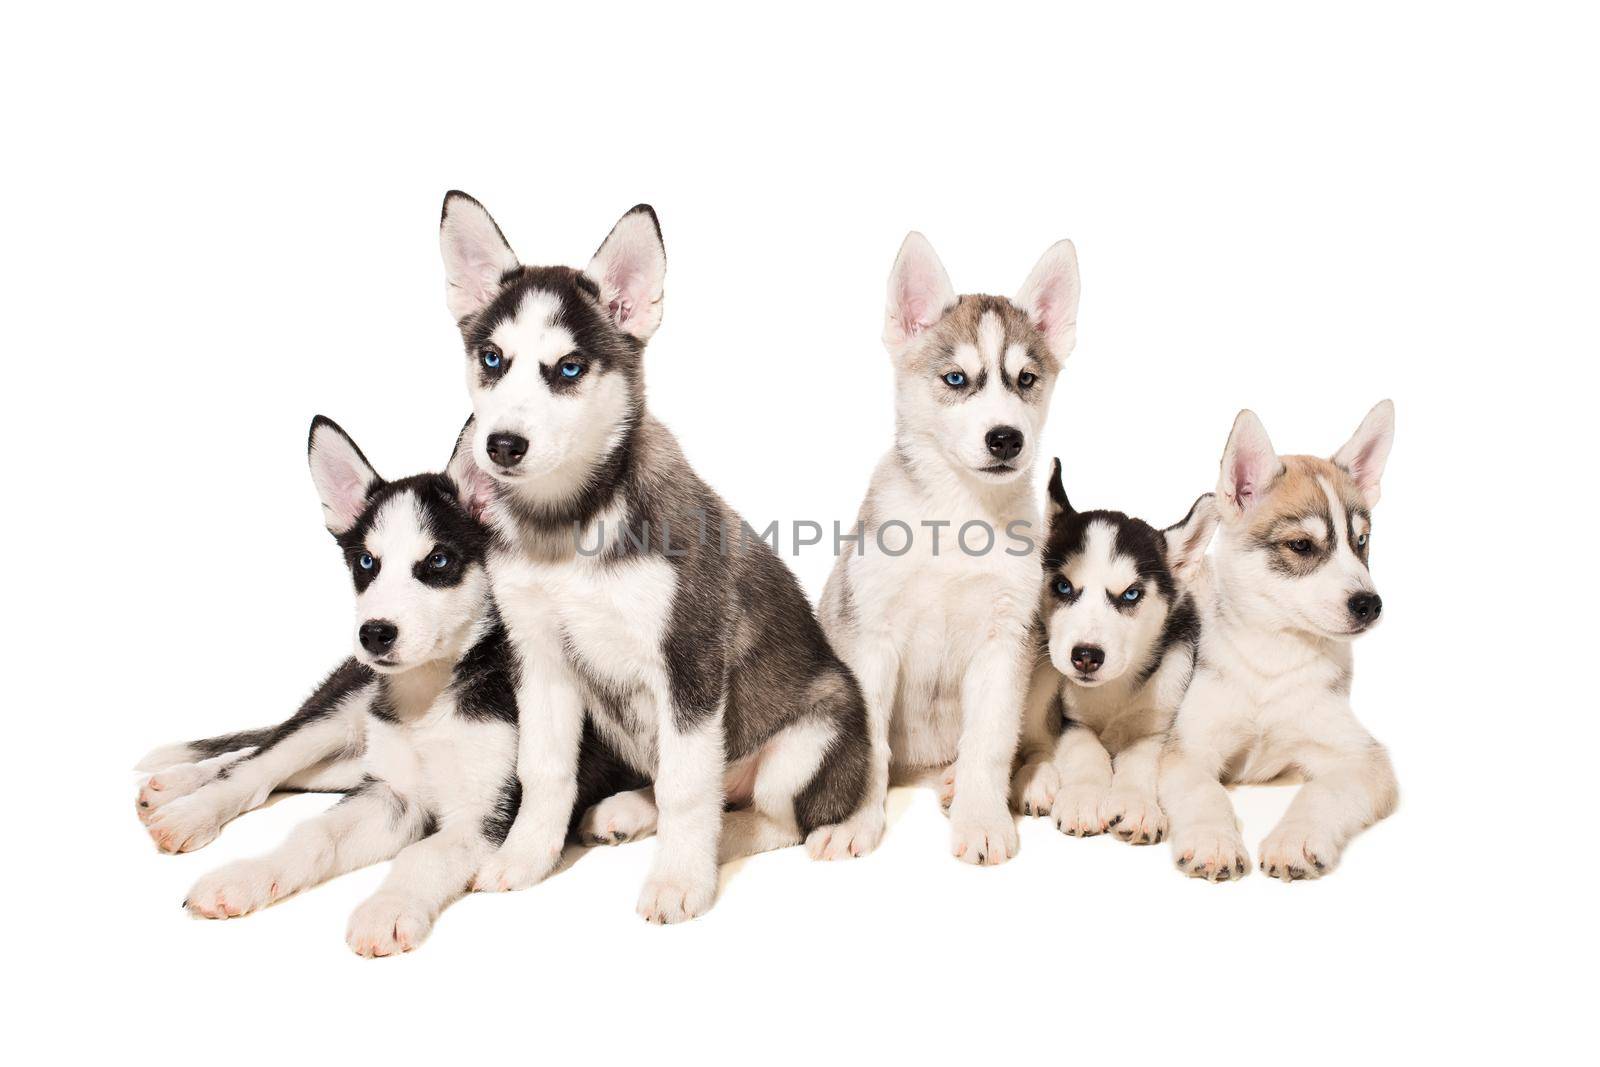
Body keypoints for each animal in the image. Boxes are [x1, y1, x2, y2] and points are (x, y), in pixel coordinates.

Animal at [134, 415, 640, 953]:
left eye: (439, 562)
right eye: (366, 564)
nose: (375, 633)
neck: (431, 693)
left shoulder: (488, 816)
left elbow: (421, 855)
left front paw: (388, 908)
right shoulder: (392, 794)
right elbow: (314, 835)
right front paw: (246, 877)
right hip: (341, 712)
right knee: (258, 764)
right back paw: (185, 803)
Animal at [432, 194, 870, 927]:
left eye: (570, 369)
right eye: (492, 358)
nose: (502, 445)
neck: (568, 525)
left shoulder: (689, 658)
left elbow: (689, 790)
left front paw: (679, 878)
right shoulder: (538, 657)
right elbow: (543, 771)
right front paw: (524, 857)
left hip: (814, 732)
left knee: (770, 814)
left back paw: (723, 837)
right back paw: (631, 810)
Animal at [812, 230, 1088, 863]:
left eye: (1026, 380)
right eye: (956, 379)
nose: (1005, 438)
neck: (959, 516)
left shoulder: (1004, 641)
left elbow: (990, 741)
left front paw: (982, 818)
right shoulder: (871, 639)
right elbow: (869, 746)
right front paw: (854, 821)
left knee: (1031, 738)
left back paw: (1017, 776)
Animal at [1004, 460, 1216, 844]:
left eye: (1131, 594)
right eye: (1063, 586)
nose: (1086, 655)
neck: (1112, 690)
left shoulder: (1159, 723)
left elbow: (1139, 758)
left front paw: (1137, 805)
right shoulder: (1070, 719)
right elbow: (1086, 750)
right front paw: (1084, 798)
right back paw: (1037, 779)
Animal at [1164, 399, 1401, 883]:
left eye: (1361, 542)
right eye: (1301, 545)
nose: (1369, 604)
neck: (1272, 658)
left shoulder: (1362, 757)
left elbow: (1322, 793)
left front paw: (1298, 840)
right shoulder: (1187, 749)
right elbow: (1203, 791)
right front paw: (1213, 841)